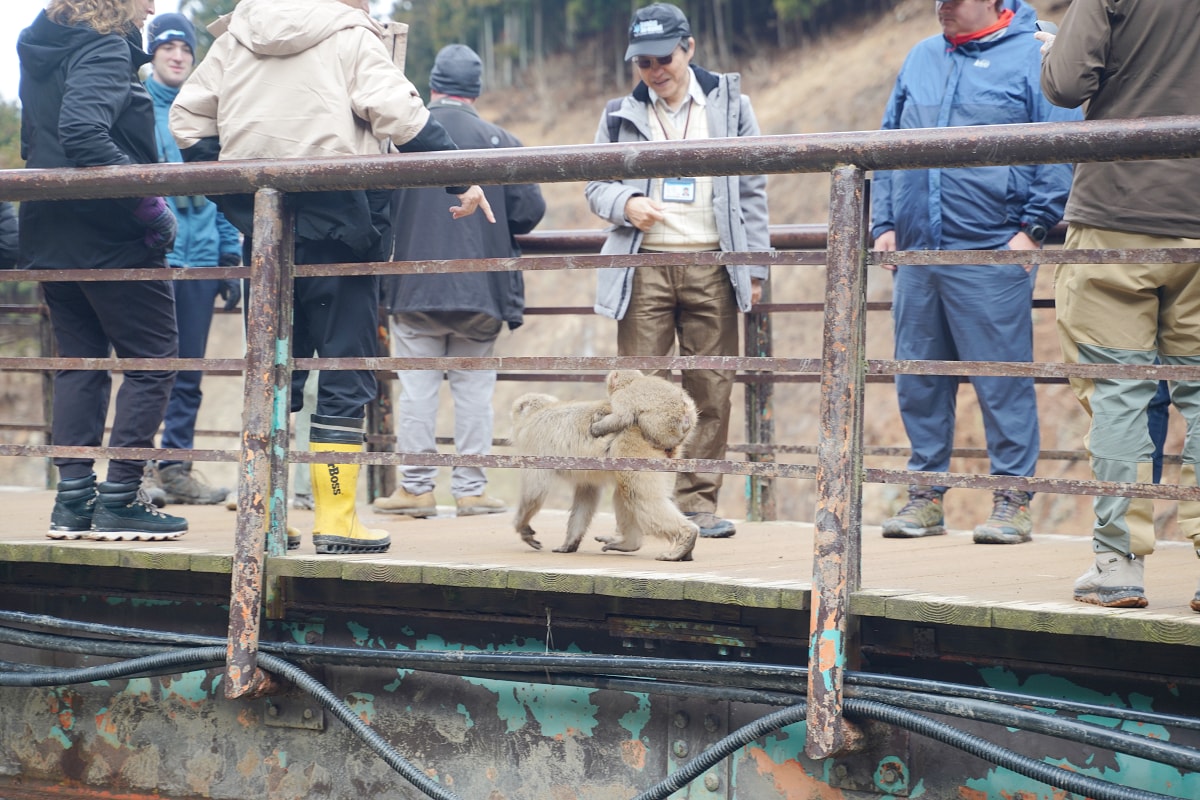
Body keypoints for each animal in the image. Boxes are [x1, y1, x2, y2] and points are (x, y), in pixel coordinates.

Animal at [509, 389, 698, 561]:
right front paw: (570, 542)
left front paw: (522, 526)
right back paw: (630, 544)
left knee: (636, 494)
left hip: (633, 445)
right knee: (625, 492)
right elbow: (587, 492)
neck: (539, 411)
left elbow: (535, 490)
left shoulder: (532, 441)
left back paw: (687, 535)